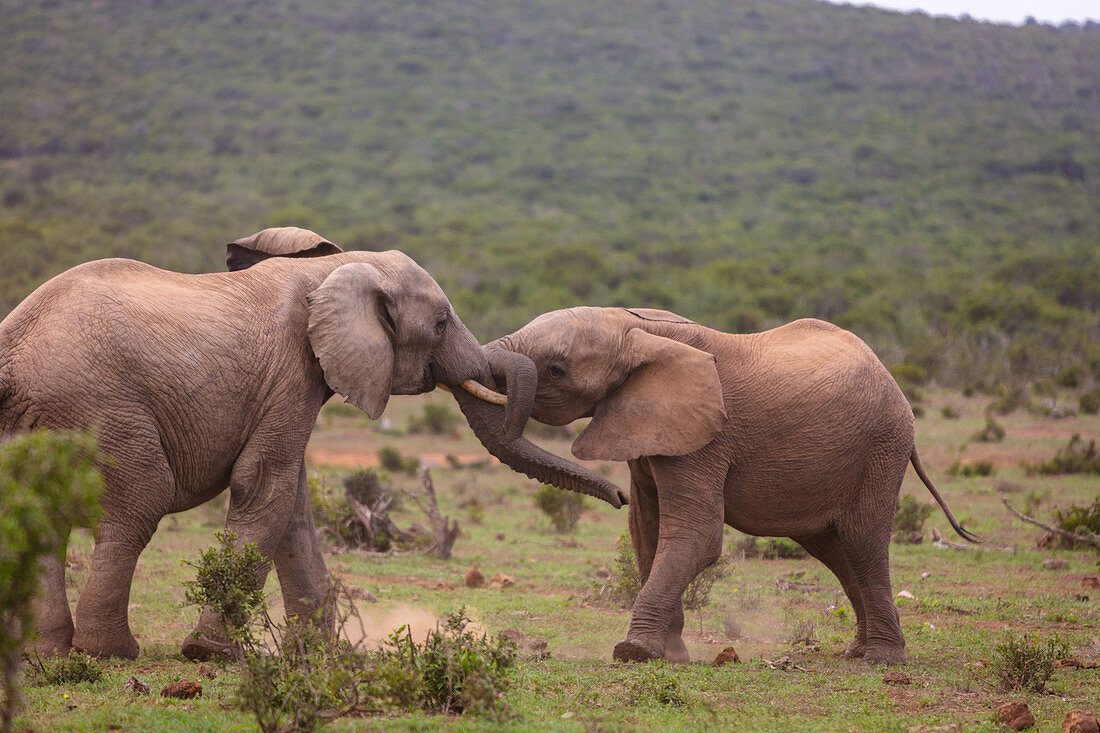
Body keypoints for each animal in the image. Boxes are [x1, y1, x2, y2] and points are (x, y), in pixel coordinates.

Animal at [0, 226, 629, 655]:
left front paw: (321, 654)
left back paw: (48, 650)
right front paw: (212, 655)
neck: (338, 268)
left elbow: (293, 505)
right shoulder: (289, 371)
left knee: (40, 516)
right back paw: (110, 652)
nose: (623, 499)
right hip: (100, 404)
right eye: (441, 323)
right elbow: (265, 488)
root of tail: (15, 351)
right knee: (140, 499)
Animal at [459, 305, 976, 664]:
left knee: (863, 542)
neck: (636, 328)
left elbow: (696, 534)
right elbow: (646, 532)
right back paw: (855, 653)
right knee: (834, 549)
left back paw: (881, 661)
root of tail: (892, 379)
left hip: (882, 446)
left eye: (556, 368)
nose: (613, 495)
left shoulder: (707, 437)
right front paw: (669, 656)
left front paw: (633, 652)